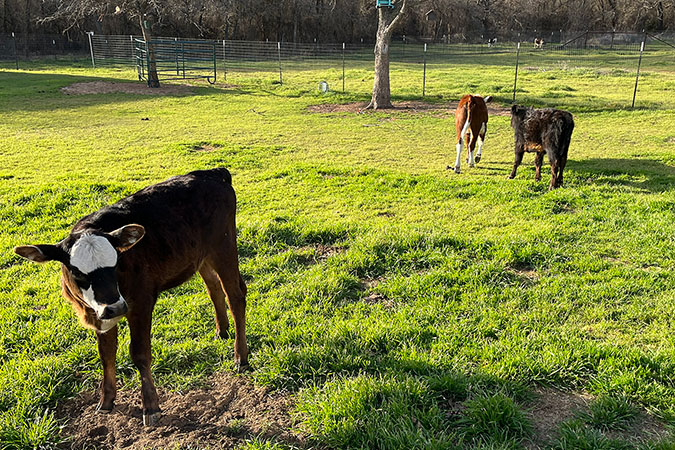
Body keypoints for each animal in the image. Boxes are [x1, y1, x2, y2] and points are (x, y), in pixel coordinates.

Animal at [14, 168, 247, 426]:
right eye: (77, 272)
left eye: (116, 263)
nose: (114, 308)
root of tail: (212, 172)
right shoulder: (101, 315)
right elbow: (106, 354)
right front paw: (106, 401)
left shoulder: (140, 304)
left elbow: (140, 353)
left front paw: (150, 406)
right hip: (201, 256)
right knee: (214, 288)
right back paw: (221, 330)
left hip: (223, 247)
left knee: (236, 296)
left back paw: (240, 357)